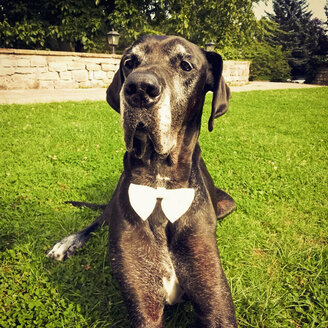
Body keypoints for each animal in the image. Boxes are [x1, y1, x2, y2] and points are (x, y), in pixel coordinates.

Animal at [47, 34, 237, 326]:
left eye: (186, 65)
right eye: (129, 62)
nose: (139, 88)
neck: (160, 184)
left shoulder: (216, 302)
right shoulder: (144, 302)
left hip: (227, 204)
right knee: (98, 220)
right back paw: (66, 243)